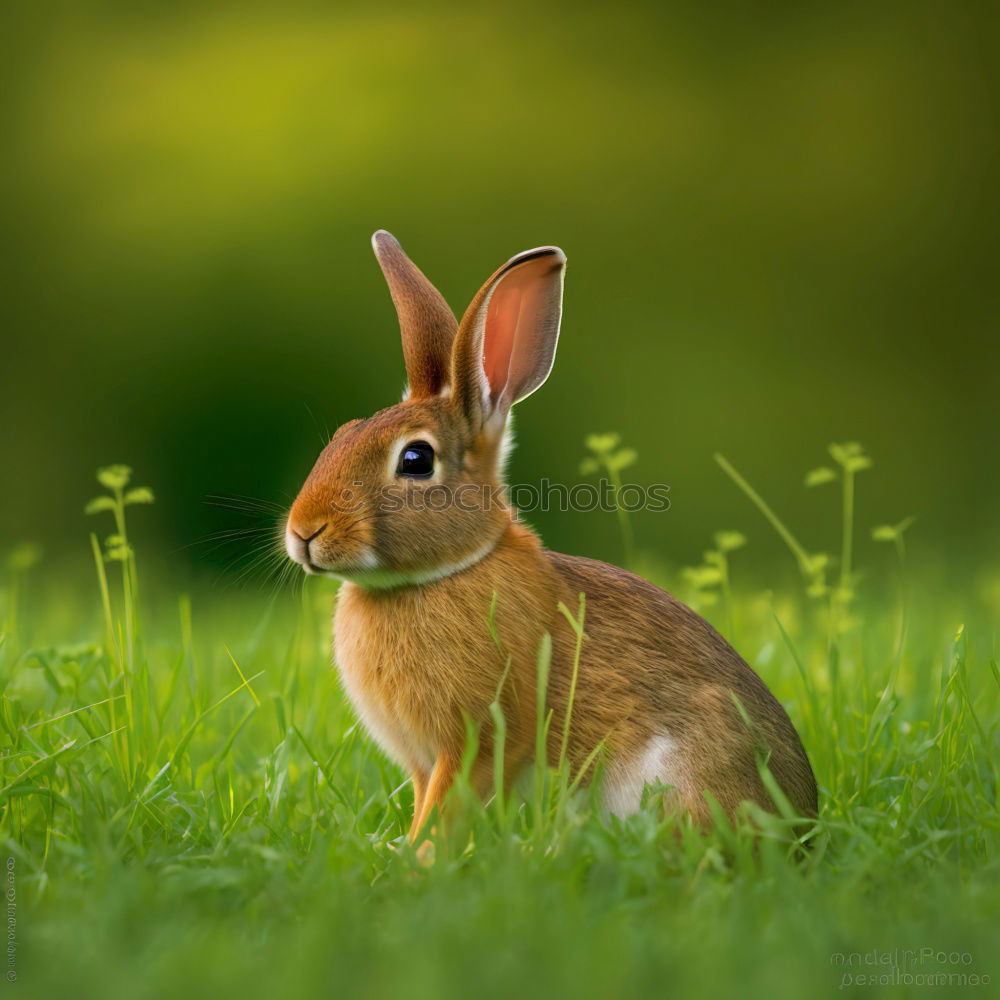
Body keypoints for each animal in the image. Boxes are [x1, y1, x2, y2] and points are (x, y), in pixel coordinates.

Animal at [286, 230, 816, 840]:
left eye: (416, 460)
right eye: (343, 435)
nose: (303, 532)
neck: (444, 572)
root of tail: (803, 822)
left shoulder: (480, 737)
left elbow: (448, 807)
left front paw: (421, 857)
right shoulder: (424, 762)